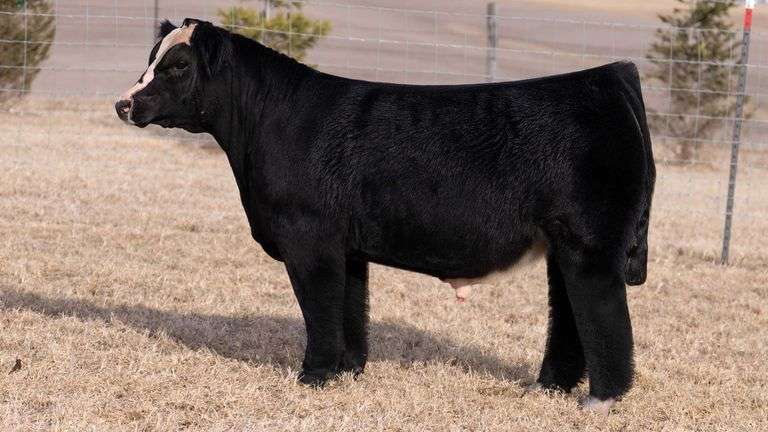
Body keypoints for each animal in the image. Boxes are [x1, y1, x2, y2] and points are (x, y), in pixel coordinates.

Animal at [115, 19, 655, 414]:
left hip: (591, 244)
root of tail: (609, 75)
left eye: (178, 64)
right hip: (565, 245)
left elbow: (319, 308)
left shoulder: (308, 236)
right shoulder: (346, 246)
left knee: (604, 315)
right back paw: (547, 388)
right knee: (569, 314)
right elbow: (350, 309)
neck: (269, 123)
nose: (124, 103)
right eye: (150, 59)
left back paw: (600, 399)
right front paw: (348, 371)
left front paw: (313, 376)